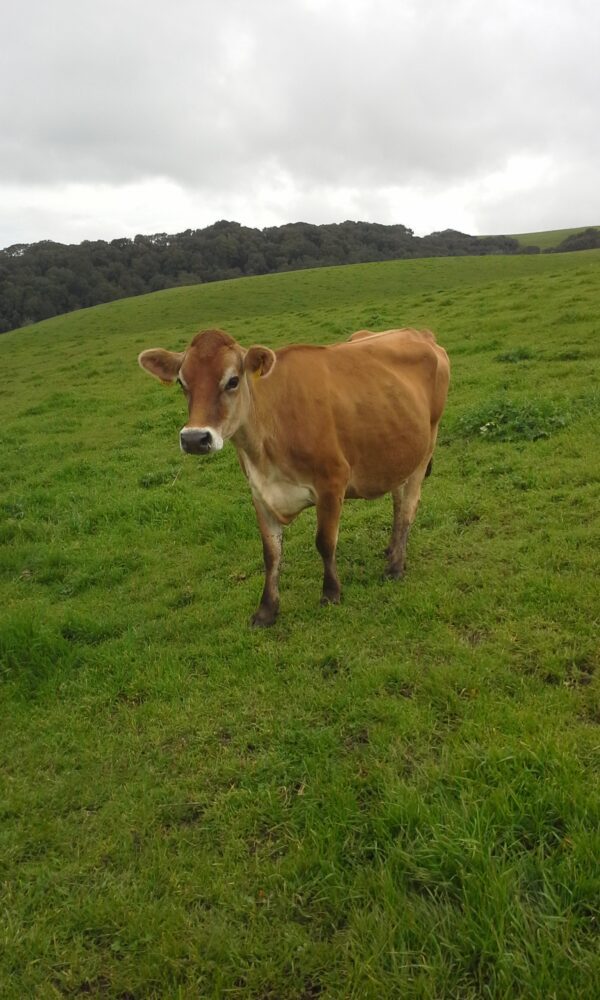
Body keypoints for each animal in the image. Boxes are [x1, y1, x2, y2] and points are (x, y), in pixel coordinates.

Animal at [138, 327, 450, 626]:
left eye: (233, 380)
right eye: (182, 383)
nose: (194, 438)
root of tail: (420, 333)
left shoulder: (332, 483)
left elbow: (325, 542)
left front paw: (331, 593)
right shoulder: (260, 492)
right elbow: (271, 553)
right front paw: (267, 610)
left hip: (425, 448)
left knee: (408, 506)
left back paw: (395, 565)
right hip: (398, 451)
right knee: (398, 502)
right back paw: (392, 549)